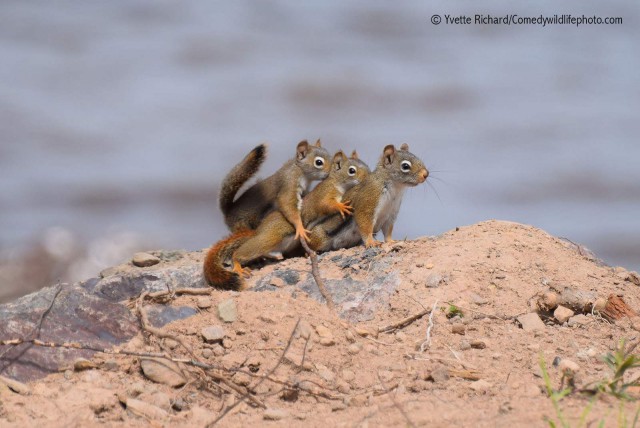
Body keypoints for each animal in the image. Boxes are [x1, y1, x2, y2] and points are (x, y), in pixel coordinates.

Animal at [202, 150, 368, 290]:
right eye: (352, 170)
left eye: (366, 165)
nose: (368, 177)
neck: (337, 182)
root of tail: (259, 230)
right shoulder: (324, 194)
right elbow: (325, 205)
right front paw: (341, 206)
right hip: (269, 238)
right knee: (243, 251)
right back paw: (237, 265)